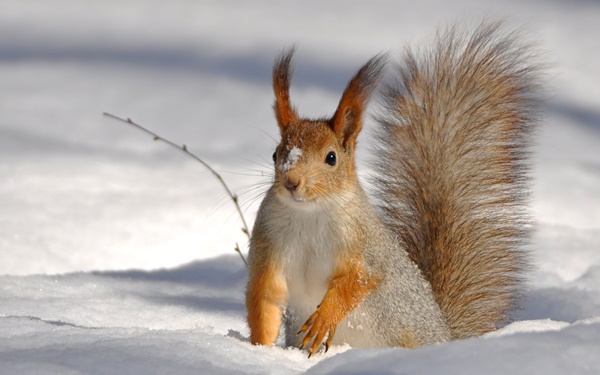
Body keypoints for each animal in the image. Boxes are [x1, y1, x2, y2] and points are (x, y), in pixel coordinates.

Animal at [244, 22, 540, 356]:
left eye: (331, 158)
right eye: (275, 154)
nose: (291, 182)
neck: (310, 213)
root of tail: (446, 334)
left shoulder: (366, 247)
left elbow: (358, 281)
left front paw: (324, 318)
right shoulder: (269, 246)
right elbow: (265, 298)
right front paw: (258, 348)